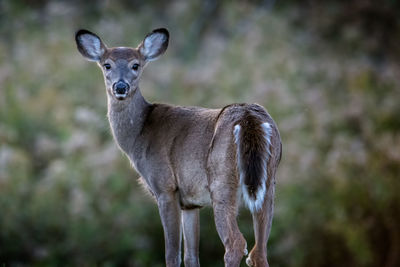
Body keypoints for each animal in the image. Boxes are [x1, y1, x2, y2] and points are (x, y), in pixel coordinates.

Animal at [75, 27, 282, 267]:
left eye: (136, 65)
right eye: (107, 65)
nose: (120, 86)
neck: (139, 134)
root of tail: (249, 119)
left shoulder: (165, 187)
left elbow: (172, 254)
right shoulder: (190, 202)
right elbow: (191, 256)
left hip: (222, 182)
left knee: (236, 244)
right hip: (269, 183)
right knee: (259, 251)